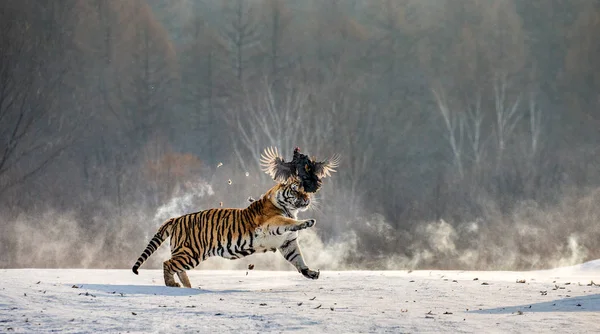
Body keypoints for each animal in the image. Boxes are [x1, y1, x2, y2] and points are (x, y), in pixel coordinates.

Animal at [131, 180, 318, 288]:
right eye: (295, 191)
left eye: (305, 191)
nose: (307, 198)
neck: (291, 209)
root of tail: (176, 218)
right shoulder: (271, 222)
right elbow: (288, 222)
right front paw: (308, 222)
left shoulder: (287, 243)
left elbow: (298, 258)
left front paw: (310, 272)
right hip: (191, 252)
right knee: (167, 263)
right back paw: (172, 285)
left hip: (187, 253)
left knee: (177, 268)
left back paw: (188, 286)